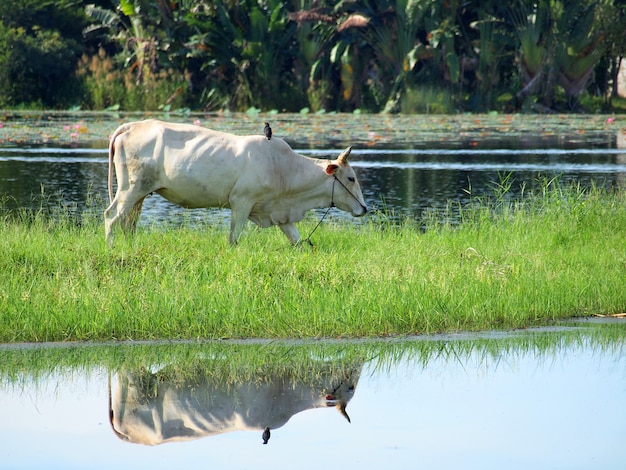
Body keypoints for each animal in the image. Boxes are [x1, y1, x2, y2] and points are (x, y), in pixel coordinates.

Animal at [102, 120, 366, 246]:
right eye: (351, 178)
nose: (365, 208)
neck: (283, 168)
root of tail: (134, 125)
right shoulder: (241, 203)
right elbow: (233, 239)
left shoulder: (280, 214)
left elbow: (298, 241)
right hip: (130, 189)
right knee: (111, 216)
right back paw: (112, 248)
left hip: (141, 193)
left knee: (129, 223)